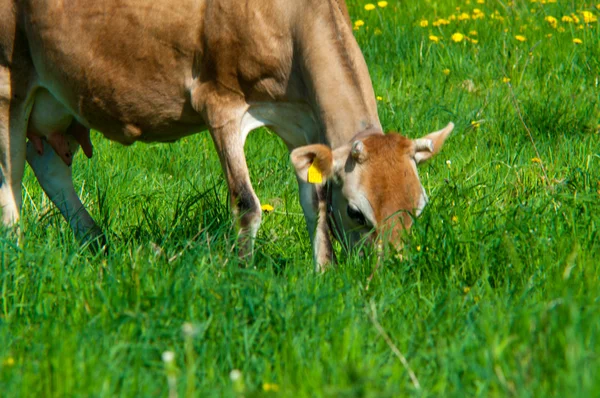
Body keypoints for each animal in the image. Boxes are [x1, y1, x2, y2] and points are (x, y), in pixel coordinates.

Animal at [0, 0, 450, 270]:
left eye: (419, 208)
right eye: (358, 213)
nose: (391, 272)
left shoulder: (302, 123)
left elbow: (316, 205)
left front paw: (324, 273)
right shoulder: (220, 104)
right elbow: (247, 204)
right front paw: (244, 271)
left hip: (53, 102)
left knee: (49, 168)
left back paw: (98, 244)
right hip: (10, 84)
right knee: (12, 179)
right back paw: (17, 251)